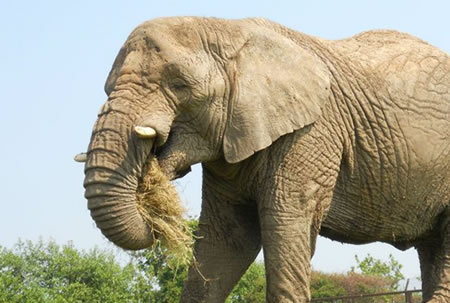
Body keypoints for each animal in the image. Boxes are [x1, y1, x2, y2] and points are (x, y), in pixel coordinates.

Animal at [78, 17, 450, 302]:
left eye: (180, 85)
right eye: (108, 87)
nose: (151, 204)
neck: (228, 31)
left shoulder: (309, 134)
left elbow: (282, 223)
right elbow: (227, 240)